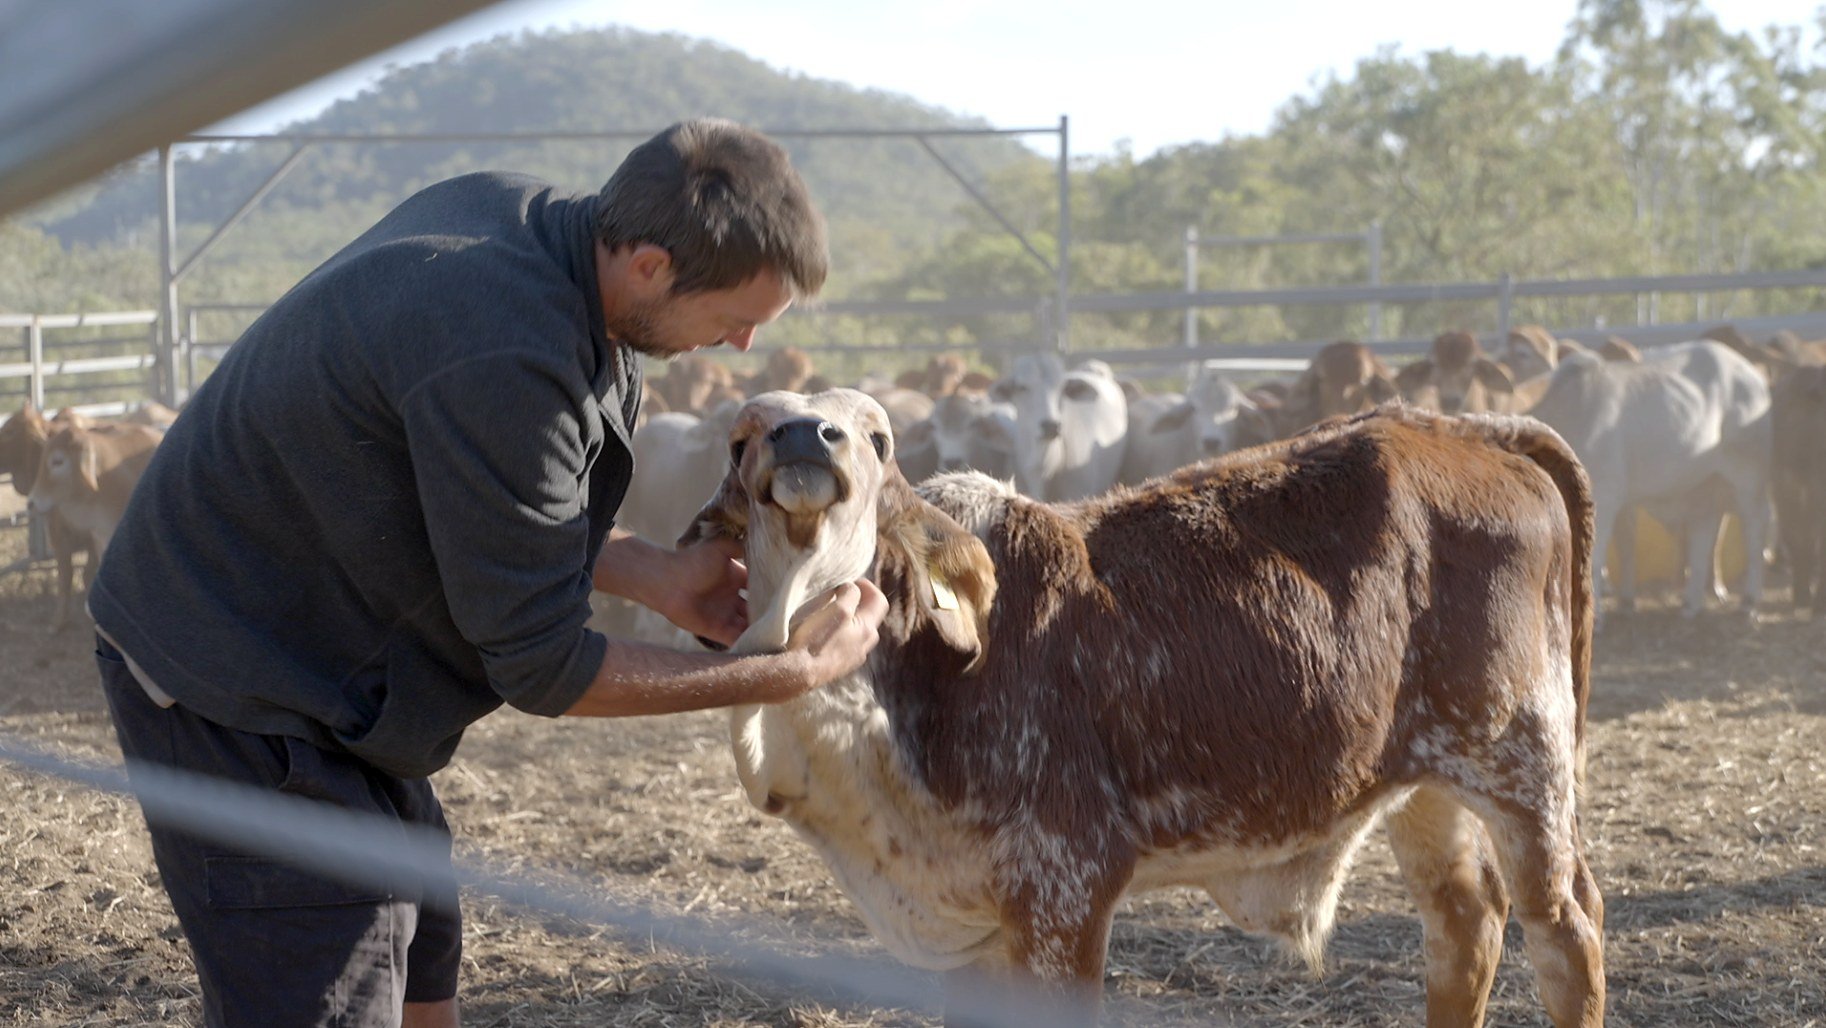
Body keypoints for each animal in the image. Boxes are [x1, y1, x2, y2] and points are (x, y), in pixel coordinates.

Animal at [684, 389, 1604, 1027]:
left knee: (1567, 932)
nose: (805, 437)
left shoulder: (1066, 892)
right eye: (743, 437)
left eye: (877, 437)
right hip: (1424, 785)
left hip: (1523, 767)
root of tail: (1465, 428)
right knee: (1465, 923)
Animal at [1528, 341, 1772, 619]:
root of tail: (1754, 377)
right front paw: (1625, 600)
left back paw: (1749, 601)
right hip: (1704, 487)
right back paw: (1691, 603)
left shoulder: (1604, 494)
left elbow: (1594, 559)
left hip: (1748, 477)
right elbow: (1625, 547)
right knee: (1704, 534)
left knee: (1754, 530)